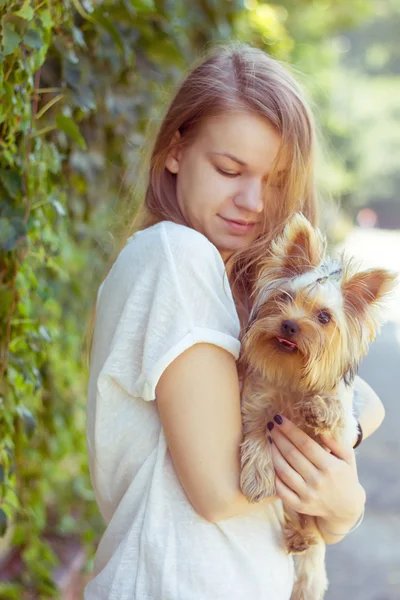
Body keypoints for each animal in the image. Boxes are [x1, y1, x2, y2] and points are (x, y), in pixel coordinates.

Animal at [239, 213, 396, 600]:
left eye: (324, 317)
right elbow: (256, 433)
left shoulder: (341, 428)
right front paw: (257, 478)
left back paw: (302, 538)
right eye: (284, 297)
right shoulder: (256, 402)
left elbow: (334, 408)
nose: (289, 324)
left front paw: (319, 409)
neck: (292, 377)